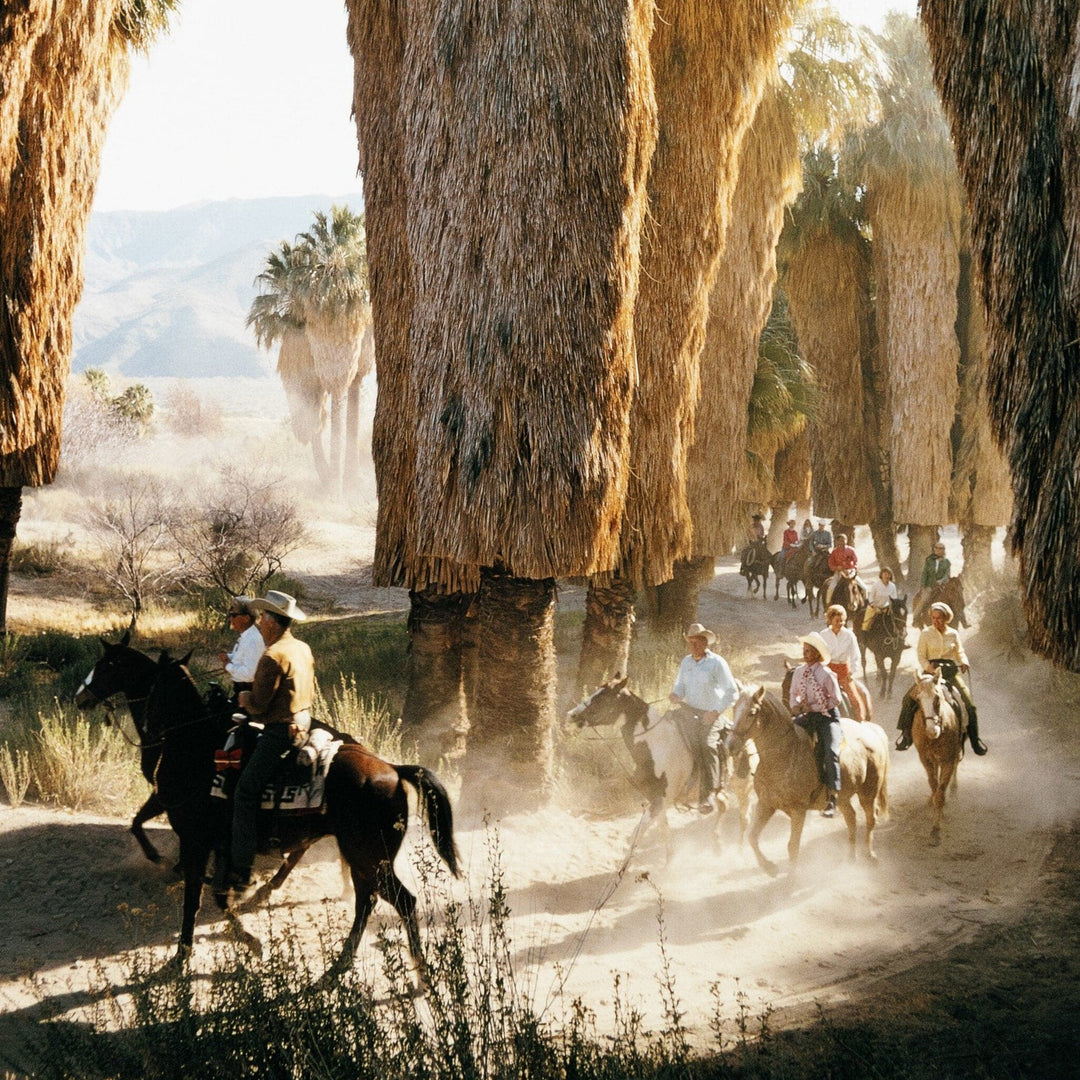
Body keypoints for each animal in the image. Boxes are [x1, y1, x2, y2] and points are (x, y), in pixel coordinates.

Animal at [76, 639, 460, 972]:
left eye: (106, 664)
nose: (80, 697)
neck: (193, 744)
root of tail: (393, 769)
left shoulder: (195, 837)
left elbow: (194, 895)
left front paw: (185, 953)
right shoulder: (219, 841)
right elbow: (215, 892)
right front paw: (245, 937)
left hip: (370, 855)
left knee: (399, 901)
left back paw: (417, 970)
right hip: (363, 855)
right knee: (365, 898)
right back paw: (336, 961)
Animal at [570, 678, 756, 872]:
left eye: (604, 698)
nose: (572, 714)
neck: (655, 744)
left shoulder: (660, 798)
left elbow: (639, 830)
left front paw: (624, 868)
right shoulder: (655, 798)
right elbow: (662, 828)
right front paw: (669, 860)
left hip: (744, 786)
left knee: (745, 817)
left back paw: (739, 853)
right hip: (720, 788)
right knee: (724, 805)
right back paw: (717, 845)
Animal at [721, 682, 889, 876]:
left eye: (752, 712)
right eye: (734, 708)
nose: (730, 746)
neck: (785, 756)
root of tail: (871, 730)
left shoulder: (798, 811)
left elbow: (792, 846)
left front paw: (791, 879)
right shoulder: (766, 805)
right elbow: (752, 837)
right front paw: (770, 867)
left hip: (868, 792)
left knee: (871, 818)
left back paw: (869, 855)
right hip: (842, 799)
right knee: (851, 819)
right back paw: (850, 859)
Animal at [911, 665, 963, 851]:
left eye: (937, 698)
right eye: (918, 700)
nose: (932, 731)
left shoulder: (948, 759)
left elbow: (940, 792)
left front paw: (935, 830)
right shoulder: (926, 759)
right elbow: (934, 786)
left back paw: (953, 789)